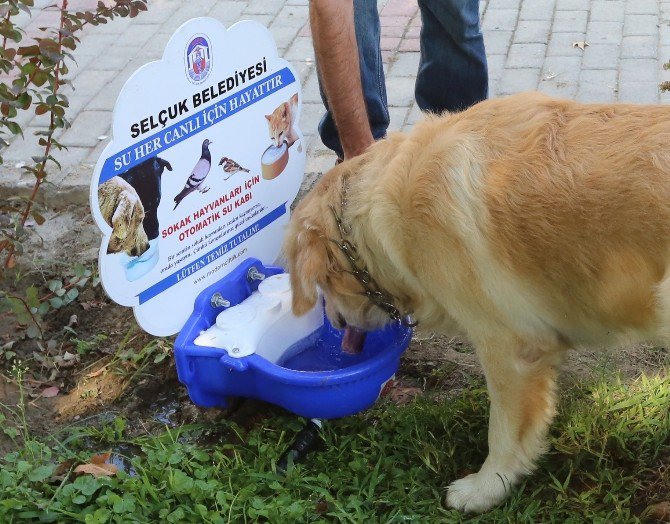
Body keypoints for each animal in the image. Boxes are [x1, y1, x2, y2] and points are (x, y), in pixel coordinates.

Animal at [286, 92, 670, 512]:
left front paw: (486, 488)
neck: (388, 207)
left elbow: (503, 431)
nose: (338, 326)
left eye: (322, 282)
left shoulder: (509, 349)